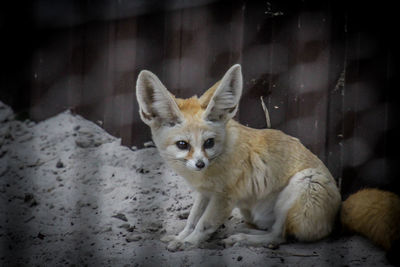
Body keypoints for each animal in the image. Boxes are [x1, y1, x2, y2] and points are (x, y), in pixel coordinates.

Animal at [137, 65, 396, 253]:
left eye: (209, 143)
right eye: (183, 145)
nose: (200, 164)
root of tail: (338, 212)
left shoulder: (224, 198)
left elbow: (203, 224)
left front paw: (188, 243)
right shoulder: (205, 193)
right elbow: (192, 219)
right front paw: (181, 236)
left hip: (303, 184)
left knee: (279, 236)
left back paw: (242, 238)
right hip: (253, 212)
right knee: (273, 232)